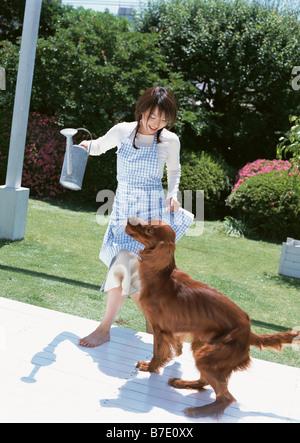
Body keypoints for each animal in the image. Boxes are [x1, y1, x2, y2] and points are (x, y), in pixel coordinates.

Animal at [125, 218, 298, 420]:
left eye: (149, 230)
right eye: (149, 220)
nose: (129, 219)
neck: (162, 276)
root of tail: (249, 332)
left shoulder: (159, 328)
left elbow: (157, 353)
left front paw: (149, 367)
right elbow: (174, 348)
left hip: (207, 356)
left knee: (226, 397)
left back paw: (198, 411)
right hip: (201, 346)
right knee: (205, 382)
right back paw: (183, 383)